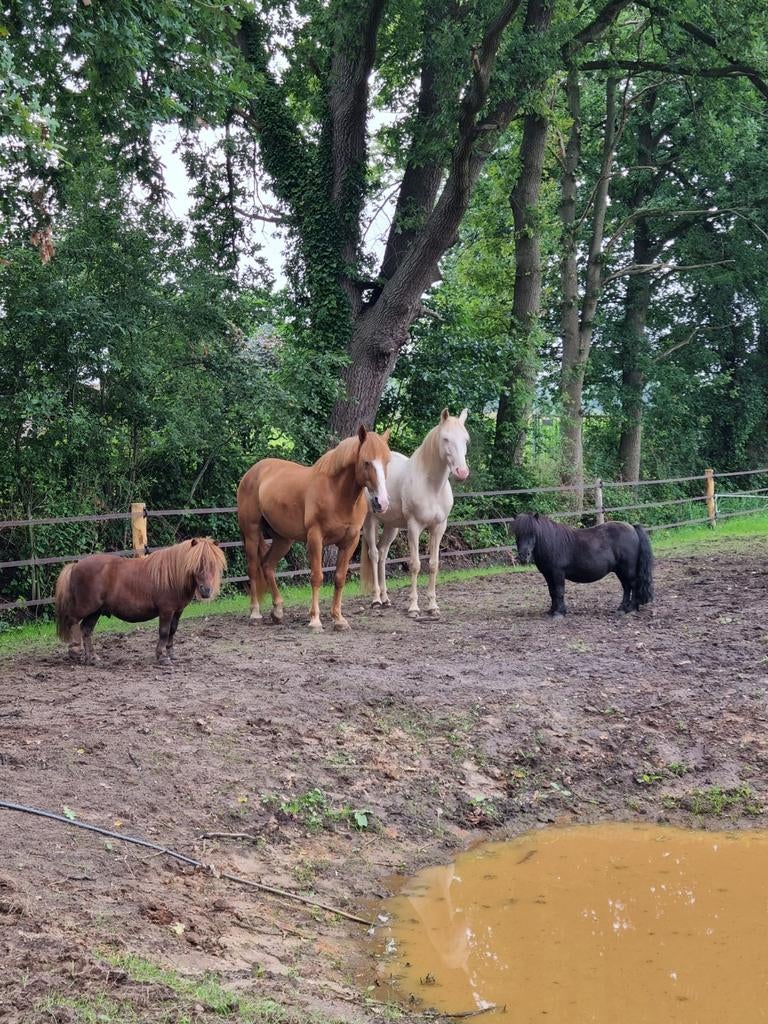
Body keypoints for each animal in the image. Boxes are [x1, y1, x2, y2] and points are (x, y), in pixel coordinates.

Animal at [54, 537, 227, 664]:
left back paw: (93, 658)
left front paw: (171, 653)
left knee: (86, 630)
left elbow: (172, 630)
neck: (171, 576)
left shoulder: (177, 611)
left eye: (212, 564)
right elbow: (164, 632)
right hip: (86, 607)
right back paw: (75, 651)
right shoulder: (166, 610)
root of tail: (75, 565)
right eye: (196, 564)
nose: (206, 590)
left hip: (95, 611)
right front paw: (162, 656)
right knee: (73, 621)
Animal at [237, 425, 392, 632]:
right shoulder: (315, 538)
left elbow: (339, 578)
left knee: (268, 566)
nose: (381, 502)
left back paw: (278, 611)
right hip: (252, 533)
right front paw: (315, 620)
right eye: (366, 462)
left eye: (387, 461)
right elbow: (317, 577)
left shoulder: (350, 542)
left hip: (283, 539)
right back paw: (255, 613)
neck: (336, 494)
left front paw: (339, 619)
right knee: (253, 568)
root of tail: (252, 472)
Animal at [359, 408, 469, 618]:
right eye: (446, 439)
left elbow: (433, 565)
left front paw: (433, 607)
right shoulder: (414, 527)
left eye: (466, 440)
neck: (431, 486)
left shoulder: (438, 528)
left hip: (392, 526)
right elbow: (416, 565)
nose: (462, 472)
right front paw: (413, 607)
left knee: (383, 553)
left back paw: (386, 599)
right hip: (371, 521)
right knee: (374, 554)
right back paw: (376, 600)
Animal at [511, 512, 653, 616]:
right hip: (620, 571)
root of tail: (632, 528)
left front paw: (559, 613)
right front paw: (552, 611)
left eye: (533, 533)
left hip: (628, 569)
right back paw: (622, 608)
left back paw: (631, 609)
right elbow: (552, 592)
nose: (524, 556)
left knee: (633, 585)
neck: (552, 543)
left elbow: (559, 591)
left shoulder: (557, 573)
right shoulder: (548, 575)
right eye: (517, 534)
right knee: (626, 587)